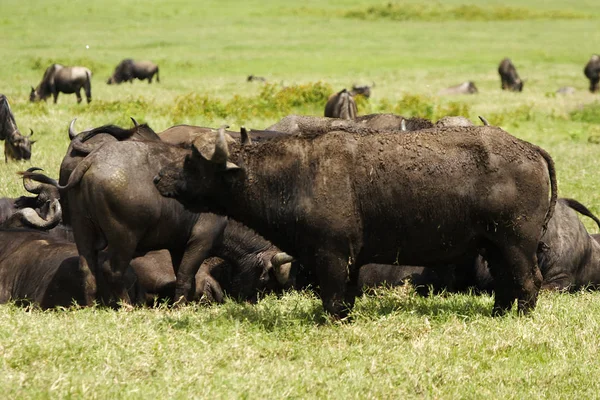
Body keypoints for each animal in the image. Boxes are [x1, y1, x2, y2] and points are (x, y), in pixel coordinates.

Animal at [154, 126, 556, 318]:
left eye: (192, 159)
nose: (159, 177)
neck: (295, 176)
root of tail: (529, 148)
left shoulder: (331, 257)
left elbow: (332, 299)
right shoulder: (347, 262)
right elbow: (344, 299)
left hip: (516, 244)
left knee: (528, 281)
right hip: (494, 246)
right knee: (505, 282)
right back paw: (499, 313)